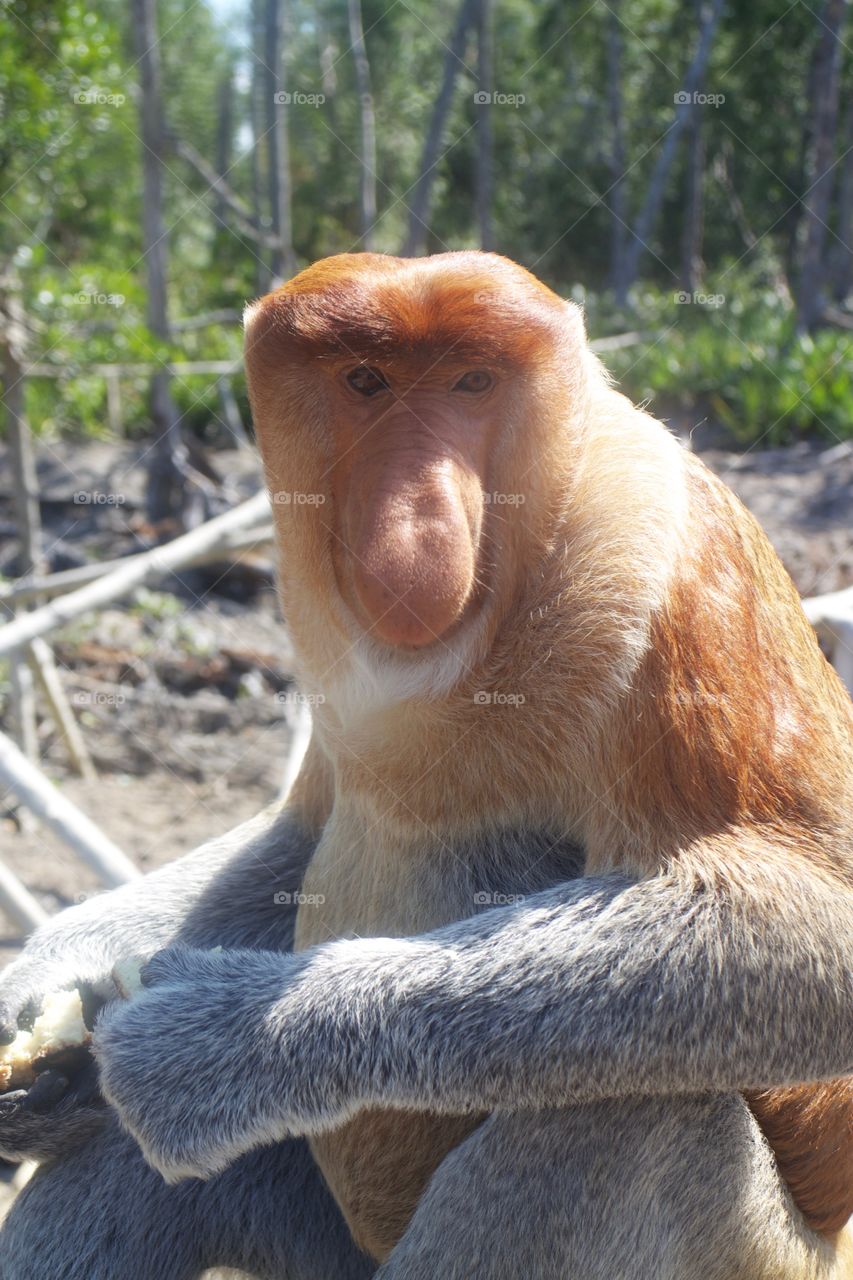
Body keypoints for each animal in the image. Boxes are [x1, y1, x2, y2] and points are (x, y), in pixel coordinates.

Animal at [0, 250, 851, 1280]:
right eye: (366, 382)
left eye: (471, 384)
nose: (415, 524)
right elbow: (298, 834)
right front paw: (49, 999)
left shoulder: (662, 559)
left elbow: (811, 914)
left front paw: (214, 1045)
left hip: (753, 1249)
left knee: (629, 1118)